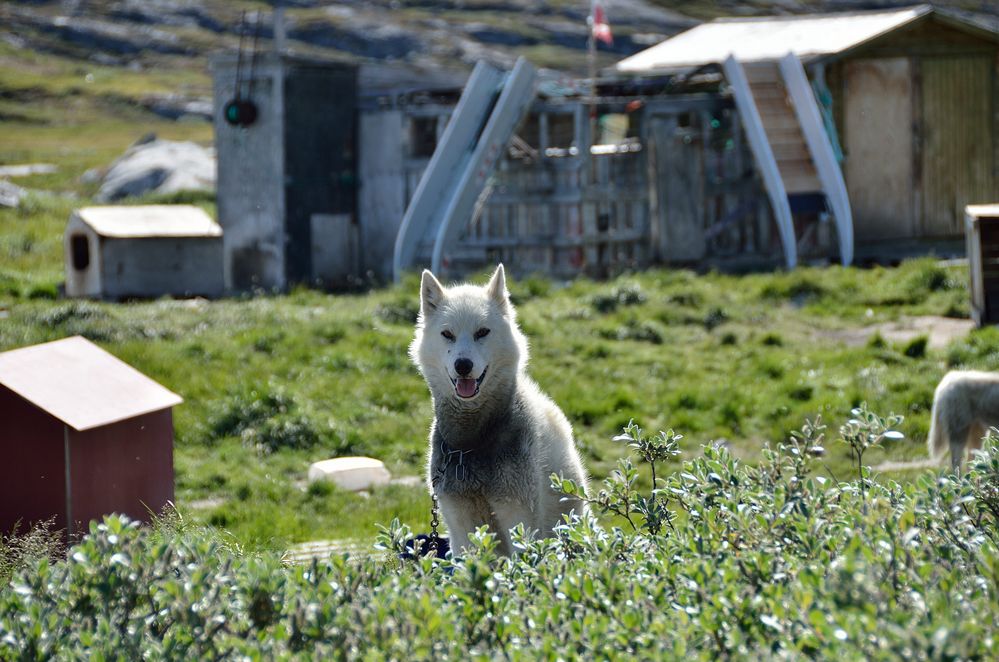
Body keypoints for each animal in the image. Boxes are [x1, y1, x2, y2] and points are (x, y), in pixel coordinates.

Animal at [410, 264, 588, 556]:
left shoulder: (519, 516)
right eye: (447, 334)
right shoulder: (460, 522)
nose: (463, 365)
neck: (471, 443)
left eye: (482, 332)